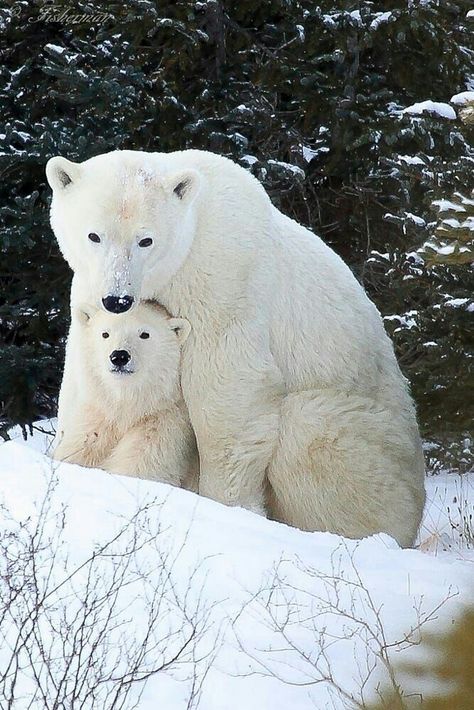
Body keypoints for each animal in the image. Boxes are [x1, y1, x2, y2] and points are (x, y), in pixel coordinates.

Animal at [47, 149, 426, 552]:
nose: (118, 299)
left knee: (307, 429)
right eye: (94, 235)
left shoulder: (223, 280)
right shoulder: (89, 287)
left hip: (377, 449)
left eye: (145, 240)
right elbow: (82, 373)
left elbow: (228, 387)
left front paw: (228, 508)